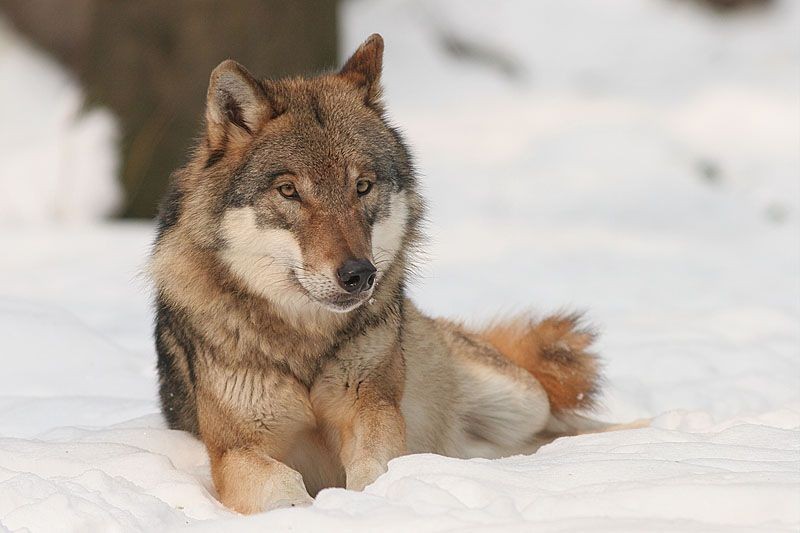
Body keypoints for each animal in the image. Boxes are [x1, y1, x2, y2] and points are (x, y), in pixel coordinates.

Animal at [150, 34, 636, 516]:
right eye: (288, 191)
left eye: (362, 186)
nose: (359, 275)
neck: (306, 345)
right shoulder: (234, 449)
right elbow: (281, 487)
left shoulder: (375, 409)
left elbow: (375, 469)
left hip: (522, 399)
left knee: (569, 426)